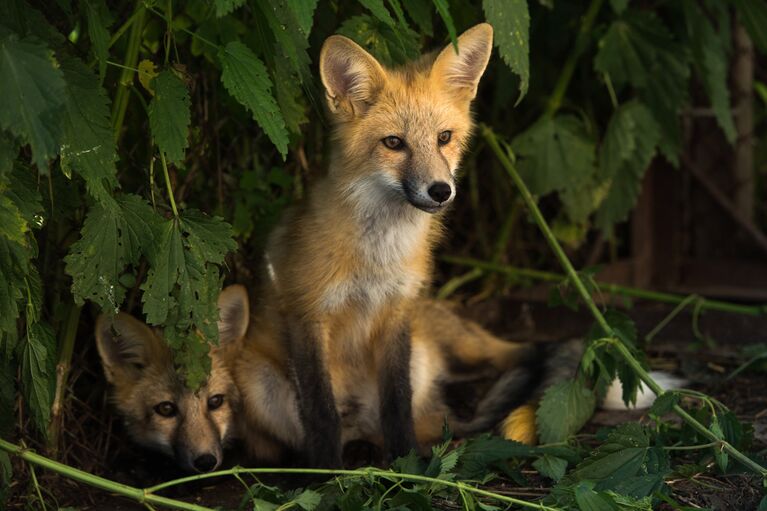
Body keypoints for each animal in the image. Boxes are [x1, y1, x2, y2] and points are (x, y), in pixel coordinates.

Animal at [260, 23, 496, 468]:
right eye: (393, 143)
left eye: (444, 138)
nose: (440, 191)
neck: (377, 259)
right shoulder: (308, 315)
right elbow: (320, 411)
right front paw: (327, 473)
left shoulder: (396, 312)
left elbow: (397, 404)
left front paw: (407, 464)